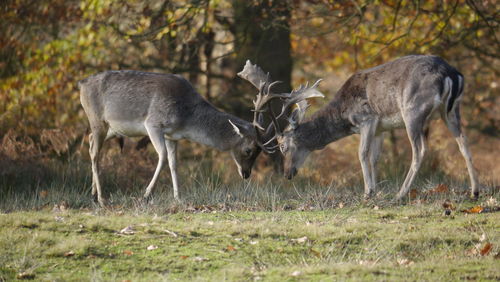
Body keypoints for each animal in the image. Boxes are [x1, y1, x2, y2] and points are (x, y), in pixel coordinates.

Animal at [78, 70, 276, 207]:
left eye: (259, 152)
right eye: (248, 150)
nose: (246, 174)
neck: (185, 118)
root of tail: (82, 84)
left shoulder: (172, 136)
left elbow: (174, 163)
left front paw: (178, 198)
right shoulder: (153, 123)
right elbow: (163, 157)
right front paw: (146, 195)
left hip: (111, 128)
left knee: (90, 141)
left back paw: (93, 194)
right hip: (96, 119)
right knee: (94, 152)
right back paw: (102, 198)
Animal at [248, 55, 478, 200]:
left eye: (283, 146)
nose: (287, 174)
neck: (344, 113)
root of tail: (451, 73)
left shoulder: (366, 119)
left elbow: (362, 153)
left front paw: (367, 192)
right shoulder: (380, 129)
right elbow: (375, 158)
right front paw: (375, 189)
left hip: (413, 109)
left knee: (420, 149)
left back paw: (401, 194)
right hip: (452, 110)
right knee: (464, 142)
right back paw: (475, 191)